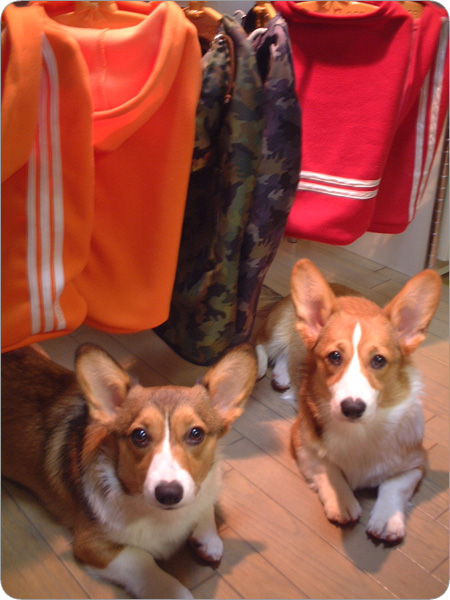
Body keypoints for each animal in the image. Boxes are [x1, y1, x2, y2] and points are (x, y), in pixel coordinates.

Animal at [2, 342, 257, 598]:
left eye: (196, 433)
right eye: (139, 435)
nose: (169, 494)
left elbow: (205, 504)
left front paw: (207, 538)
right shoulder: (91, 544)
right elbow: (142, 559)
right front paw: (175, 591)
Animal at [256, 258, 441, 542]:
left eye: (379, 360)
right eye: (334, 356)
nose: (352, 408)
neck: (359, 432)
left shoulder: (417, 462)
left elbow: (394, 486)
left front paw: (387, 520)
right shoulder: (301, 442)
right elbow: (328, 469)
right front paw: (341, 500)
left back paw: (283, 374)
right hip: (278, 329)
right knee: (260, 343)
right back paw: (259, 366)